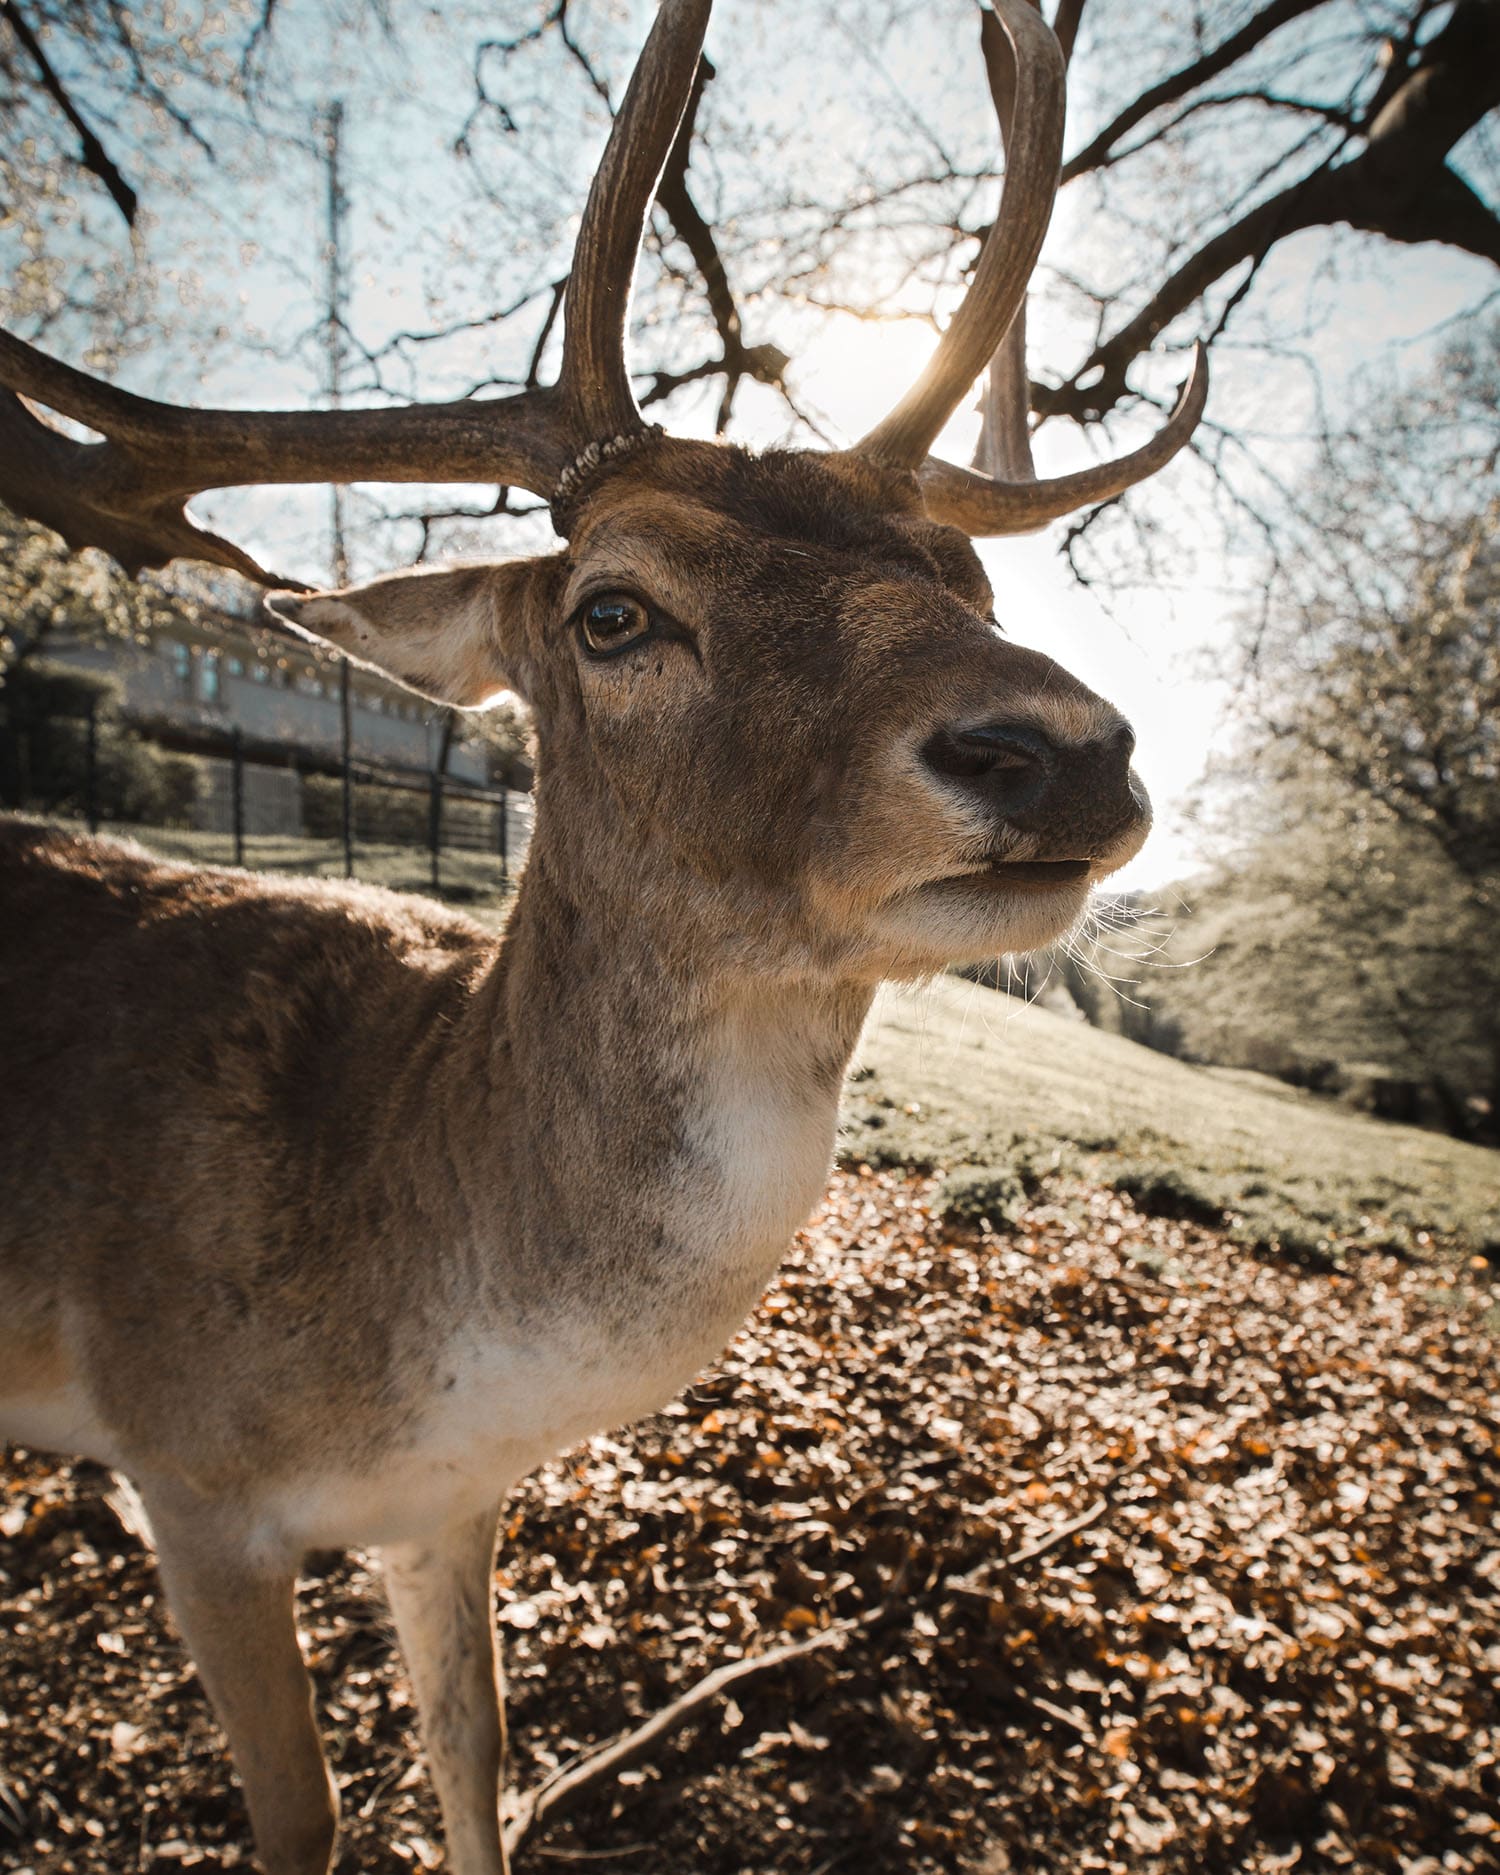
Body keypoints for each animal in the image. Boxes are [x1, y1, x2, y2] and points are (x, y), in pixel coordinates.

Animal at [0, 3, 1200, 1875]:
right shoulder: (180, 1467)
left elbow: (474, 1761)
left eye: (972, 581)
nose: (1058, 745)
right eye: (613, 609)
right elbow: (307, 1818)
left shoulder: (448, 1506)